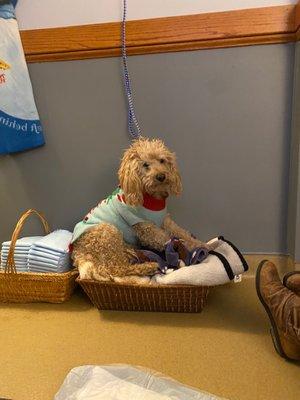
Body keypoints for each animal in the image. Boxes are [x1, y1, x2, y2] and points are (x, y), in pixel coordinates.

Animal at [71, 139, 210, 282]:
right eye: (145, 164)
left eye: (162, 160)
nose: (161, 176)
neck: (152, 197)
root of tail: (78, 255)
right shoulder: (147, 230)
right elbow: (168, 238)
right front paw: (188, 249)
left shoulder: (165, 221)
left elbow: (182, 233)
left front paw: (200, 244)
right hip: (108, 231)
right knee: (117, 269)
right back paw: (148, 266)